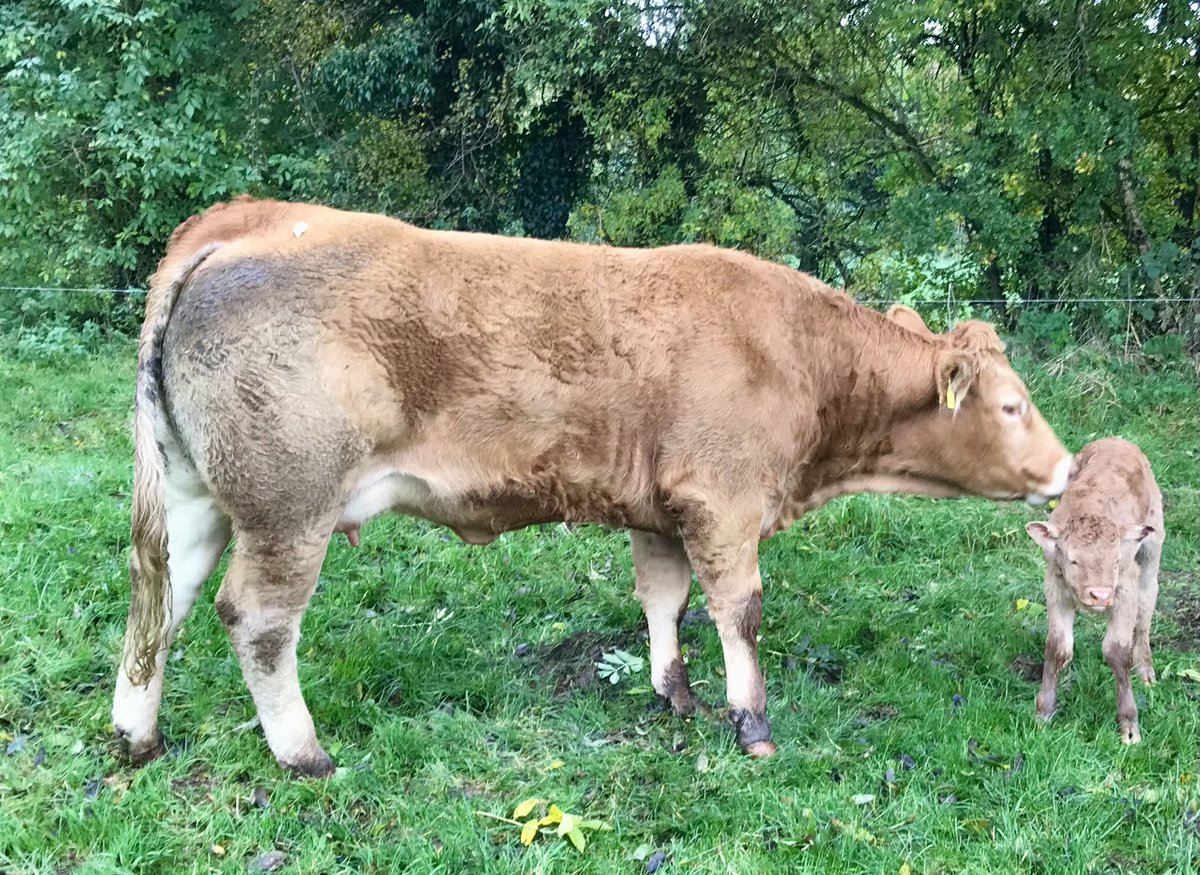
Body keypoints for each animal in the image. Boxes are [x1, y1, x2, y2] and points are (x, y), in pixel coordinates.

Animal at [112, 197, 1073, 775]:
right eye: (1012, 404)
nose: (1067, 469)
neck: (799, 353)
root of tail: (252, 219)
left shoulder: (661, 506)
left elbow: (664, 599)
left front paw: (674, 694)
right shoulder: (724, 501)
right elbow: (740, 610)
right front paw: (751, 722)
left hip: (197, 498)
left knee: (159, 600)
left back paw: (137, 735)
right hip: (289, 506)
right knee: (257, 619)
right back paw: (304, 753)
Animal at [1025, 438, 1164, 744]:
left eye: (1116, 561)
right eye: (1073, 559)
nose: (1099, 595)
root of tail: (1117, 440)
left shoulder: (1125, 590)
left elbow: (1117, 652)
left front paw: (1129, 726)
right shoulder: (1055, 587)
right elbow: (1058, 648)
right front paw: (1043, 713)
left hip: (1152, 547)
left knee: (1147, 605)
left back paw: (1146, 669)